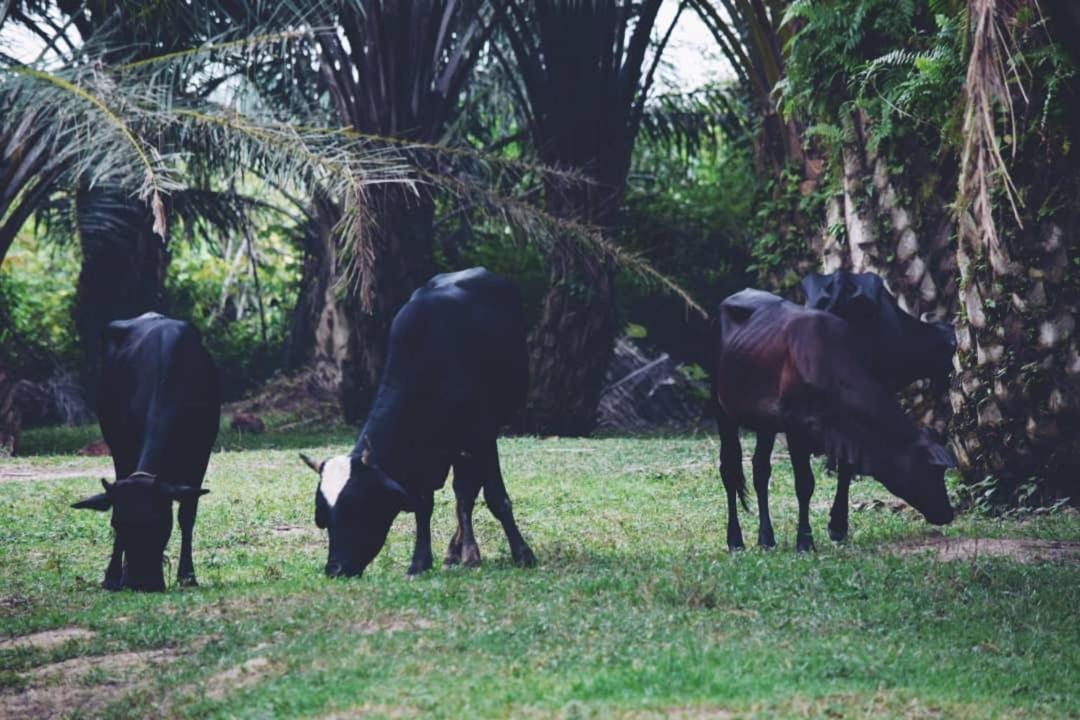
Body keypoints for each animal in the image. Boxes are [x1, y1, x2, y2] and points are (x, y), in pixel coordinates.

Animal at [71, 313, 219, 591]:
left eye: (160, 523)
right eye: (117, 524)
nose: (141, 583)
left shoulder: (201, 453)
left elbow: (187, 514)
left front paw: (188, 576)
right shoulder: (123, 448)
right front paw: (112, 576)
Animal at [300, 267, 535, 578]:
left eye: (355, 508)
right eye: (323, 517)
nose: (335, 569)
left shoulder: (483, 435)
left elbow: (495, 497)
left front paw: (521, 553)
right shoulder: (425, 455)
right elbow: (426, 506)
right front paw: (421, 560)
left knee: (467, 491)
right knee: (464, 492)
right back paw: (455, 551)